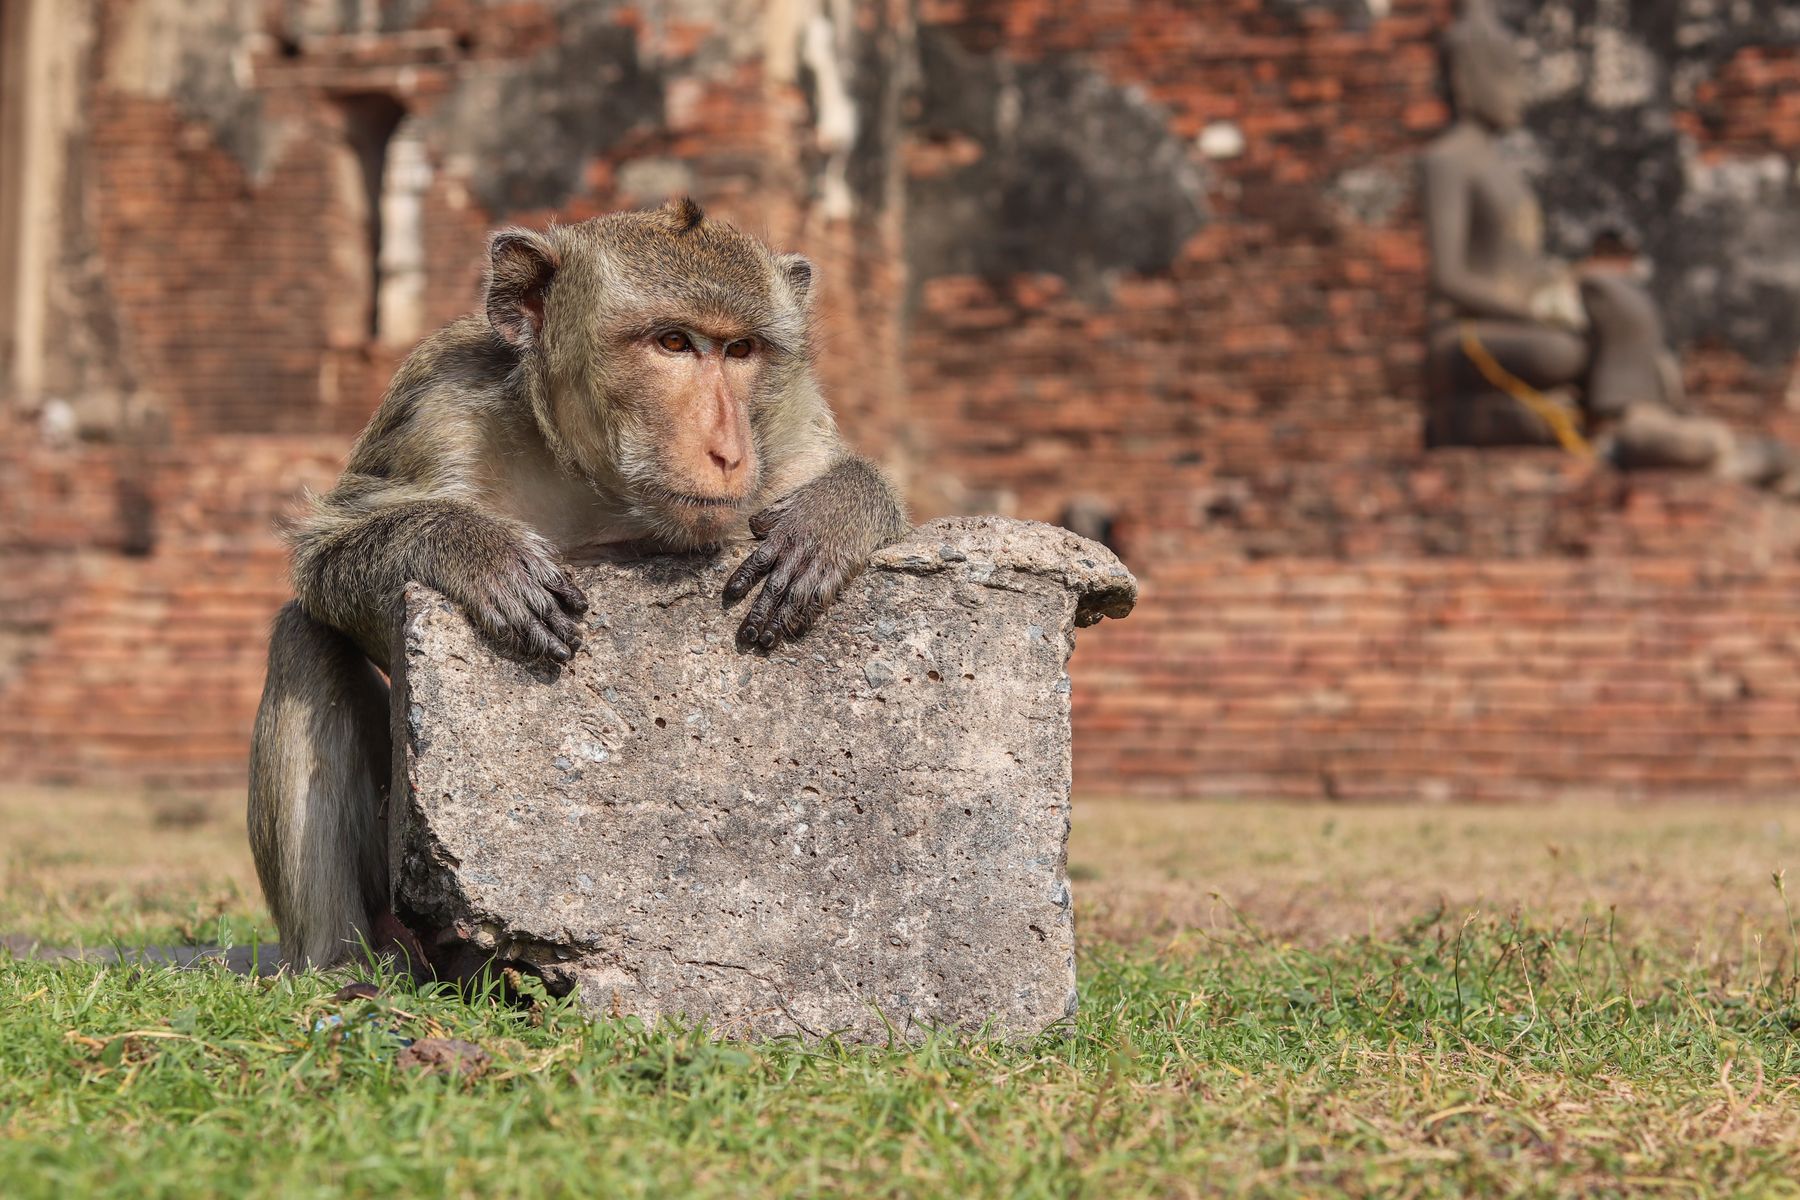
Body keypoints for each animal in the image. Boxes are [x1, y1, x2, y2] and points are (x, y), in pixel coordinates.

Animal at [247, 198, 910, 971]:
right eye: (674, 343)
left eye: (741, 350)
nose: (727, 450)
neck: (601, 485)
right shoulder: (436, 407)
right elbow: (326, 564)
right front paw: (476, 550)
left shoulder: (791, 413)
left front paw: (831, 517)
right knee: (306, 638)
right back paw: (340, 967)